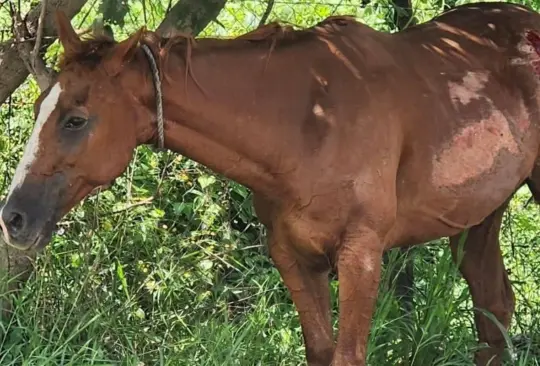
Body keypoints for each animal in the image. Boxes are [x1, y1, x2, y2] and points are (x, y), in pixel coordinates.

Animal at [1, 2, 540, 364]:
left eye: (75, 120)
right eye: (39, 106)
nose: (14, 218)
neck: (309, 122)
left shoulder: (361, 255)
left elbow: (349, 355)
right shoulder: (294, 258)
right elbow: (320, 351)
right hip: (478, 217)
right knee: (494, 311)